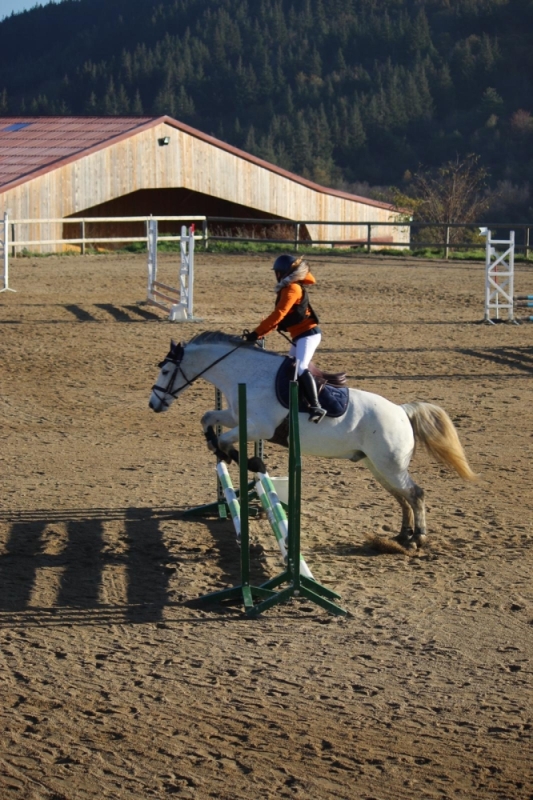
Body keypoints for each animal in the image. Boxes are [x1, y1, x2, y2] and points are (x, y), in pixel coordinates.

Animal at [149, 332, 474, 552]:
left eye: (165, 371)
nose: (154, 404)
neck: (247, 373)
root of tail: (402, 411)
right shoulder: (234, 416)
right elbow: (207, 419)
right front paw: (225, 453)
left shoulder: (257, 428)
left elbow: (228, 439)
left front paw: (245, 459)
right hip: (378, 466)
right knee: (402, 497)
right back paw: (402, 536)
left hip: (389, 466)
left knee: (415, 494)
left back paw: (417, 538)